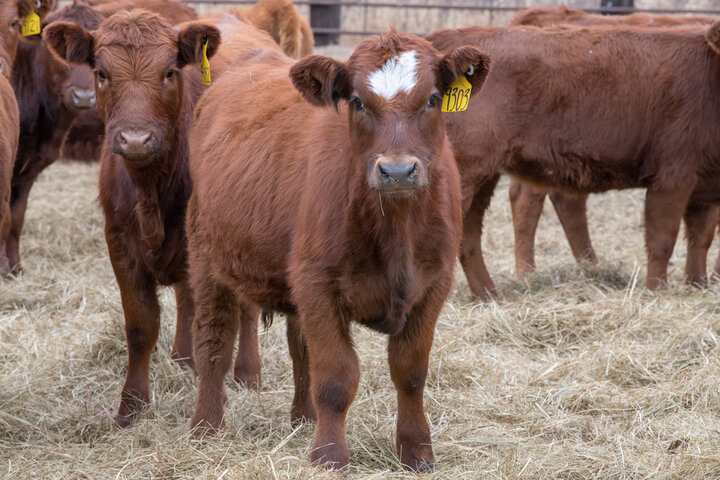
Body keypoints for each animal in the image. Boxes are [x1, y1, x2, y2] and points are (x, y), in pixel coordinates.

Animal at [424, 24, 720, 298]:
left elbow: (700, 239)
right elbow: (662, 241)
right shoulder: (671, 178)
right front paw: (656, 291)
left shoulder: (703, 188)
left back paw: (488, 295)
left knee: (470, 234)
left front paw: (697, 284)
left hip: (484, 175)